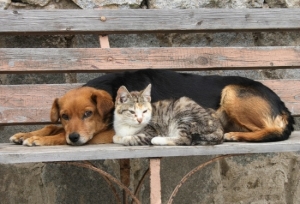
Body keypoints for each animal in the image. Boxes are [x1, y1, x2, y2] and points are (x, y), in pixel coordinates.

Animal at [10, 69, 294, 146]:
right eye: (64, 115)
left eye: (88, 114)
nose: (74, 137)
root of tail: (282, 104)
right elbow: (52, 127)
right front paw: (27, 133)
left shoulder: (104, 133)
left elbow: (58, 135)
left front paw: (39, 139)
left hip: (232, 92)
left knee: (273, 130)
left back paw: (235, 134)